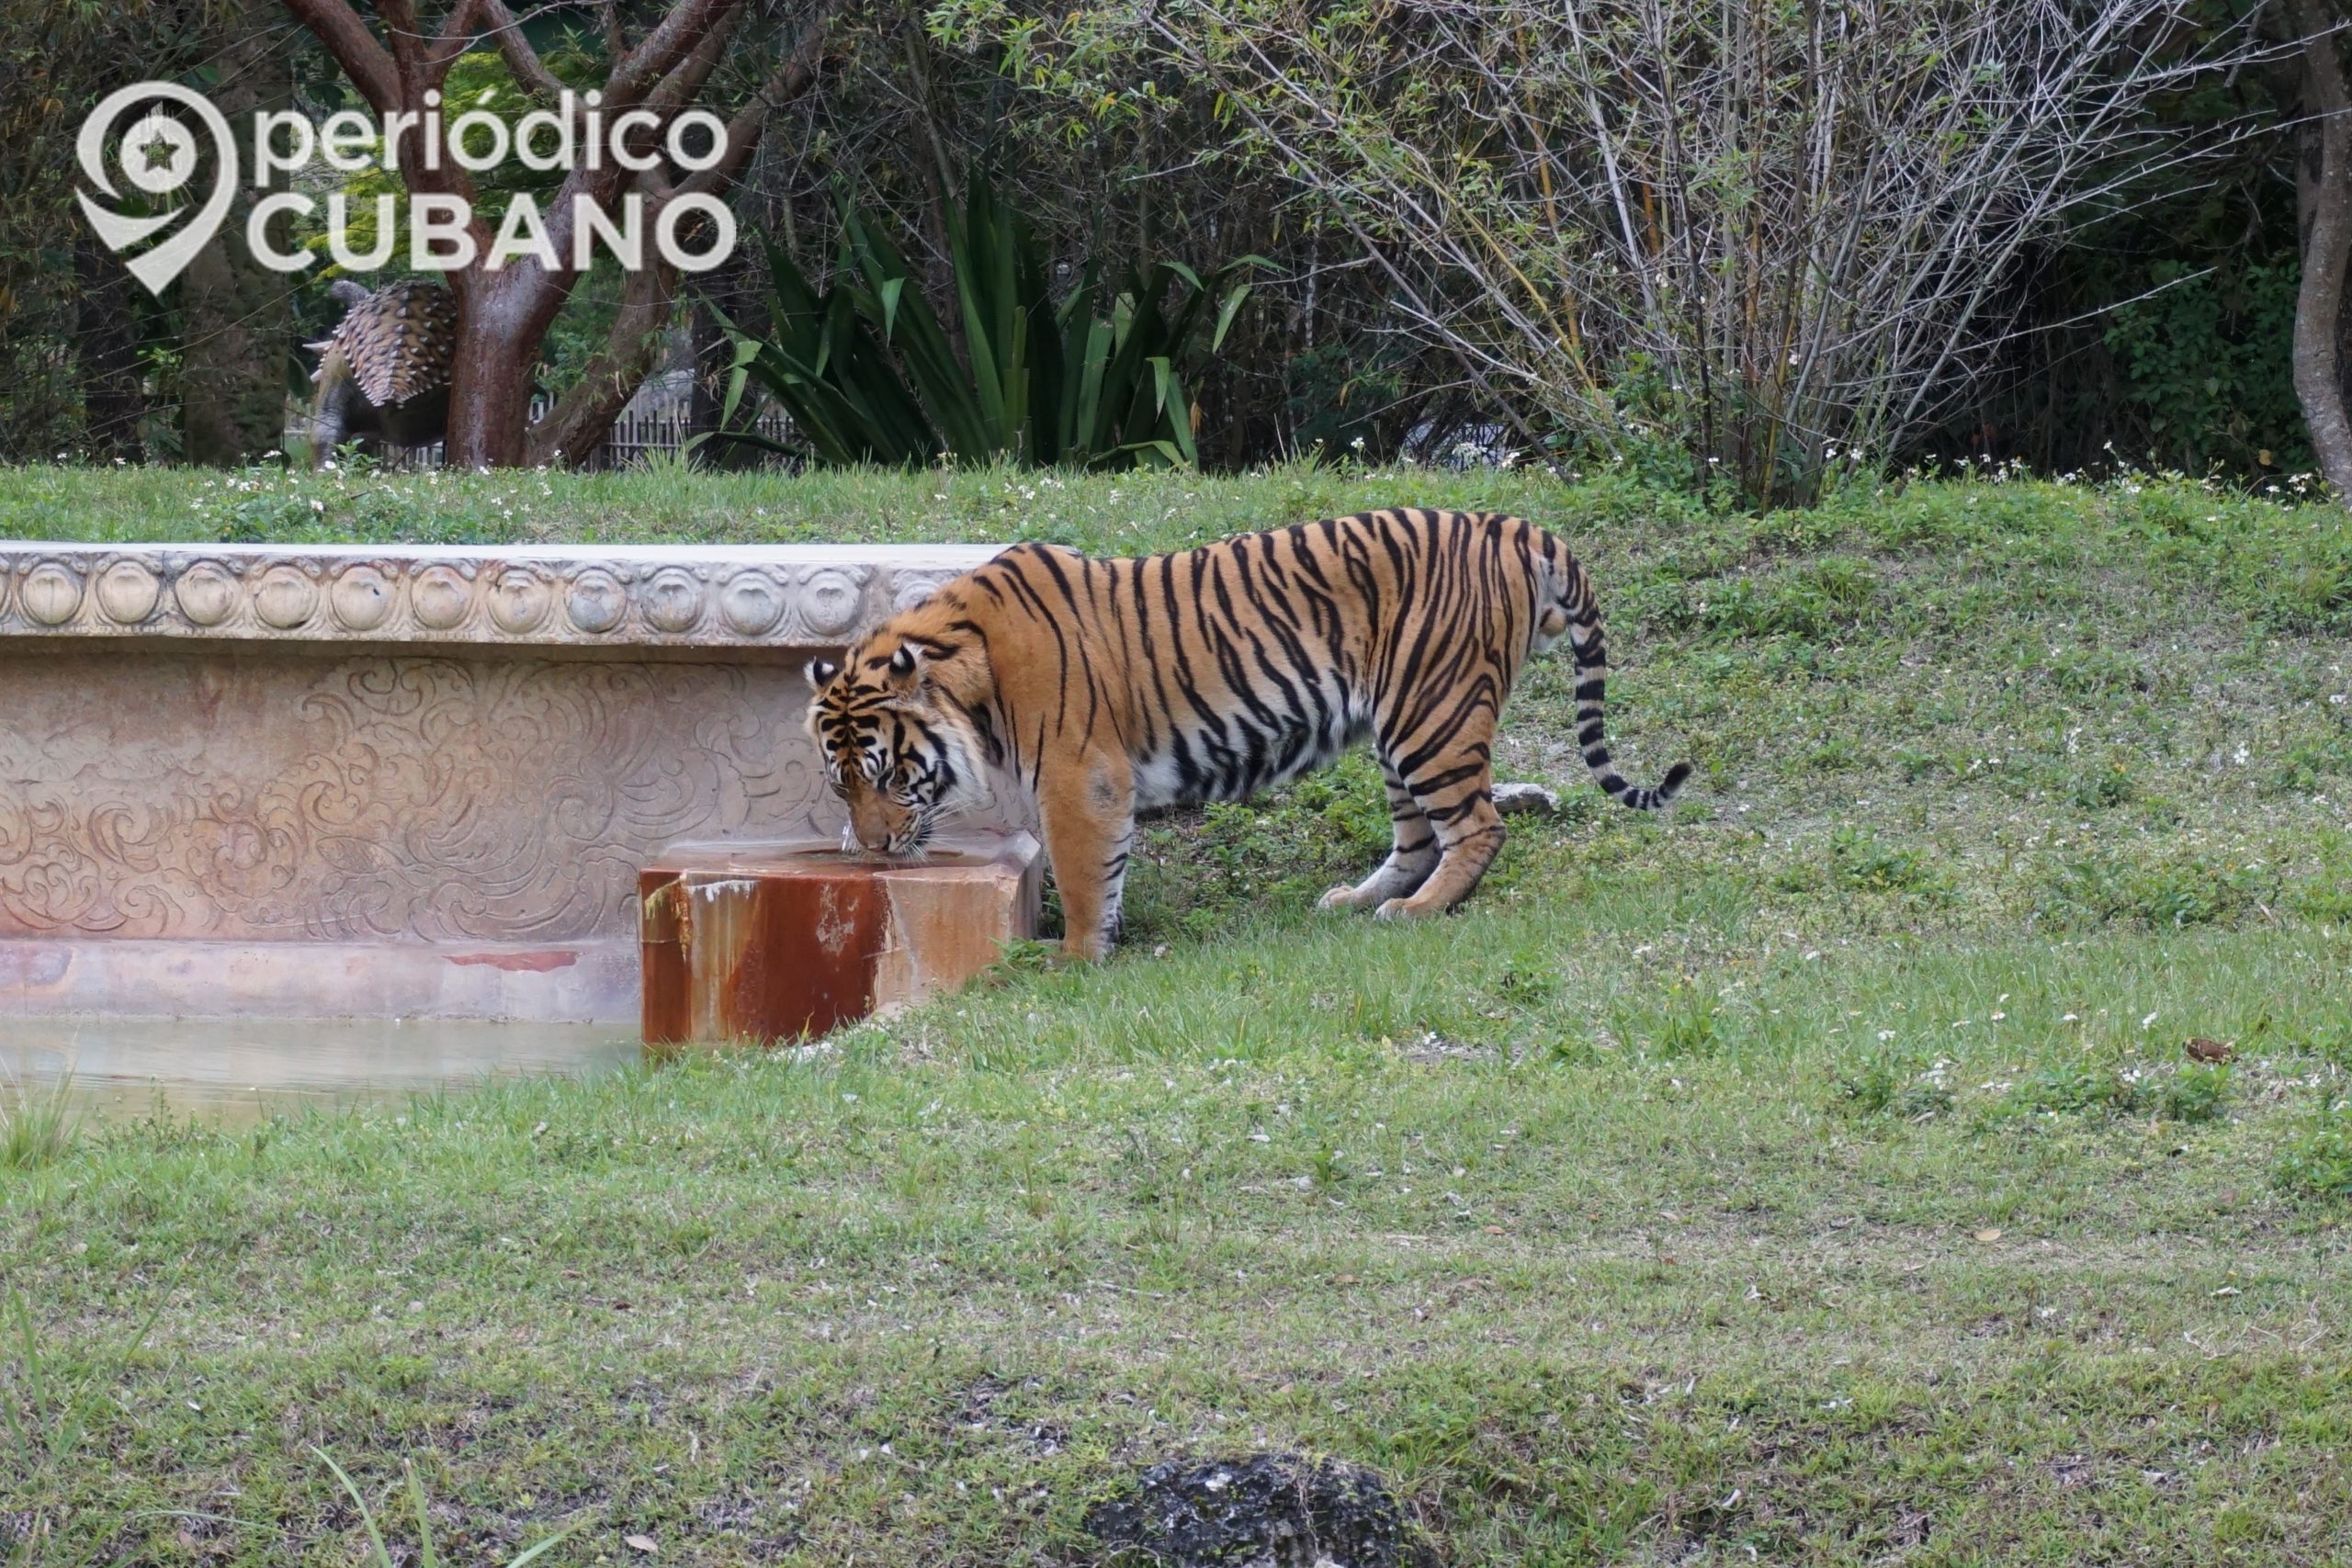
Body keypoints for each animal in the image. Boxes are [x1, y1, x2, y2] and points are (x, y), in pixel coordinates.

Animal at [805, 508, 1691, 959]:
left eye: (888, 774)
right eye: (841, 782)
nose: (875, 850)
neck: (968, 668)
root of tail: (1513, 525)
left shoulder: (1079, 777)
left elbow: (1087, 876)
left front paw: (1074, 959)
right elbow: (1108, 874)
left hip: (1432, 713)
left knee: (1478, 825)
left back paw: (1417, 913)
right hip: (1400, 725)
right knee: (1417, 836)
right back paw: (1356, 899)